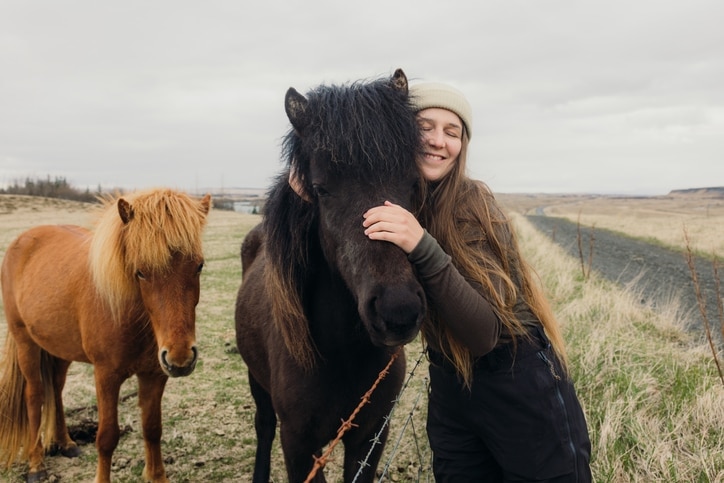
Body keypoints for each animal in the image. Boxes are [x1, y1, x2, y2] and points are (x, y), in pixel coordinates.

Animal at [0, 188, 211, 483]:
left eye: (199, 266)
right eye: (140, 272)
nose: (180, 357)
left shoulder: (154, 375)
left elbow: (152, 429)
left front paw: (156, 475)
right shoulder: (106, 376)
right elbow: (107, 438)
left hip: (59, 348)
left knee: (56, 388)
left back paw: (65, 443)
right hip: (25, 343)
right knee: (35, 395)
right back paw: (36, 465)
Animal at [234, 68, 426, 482]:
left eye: (413, 182)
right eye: (321, 190)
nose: (398, 310)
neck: (340, 353)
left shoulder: (372, 434)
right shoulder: (298, 446)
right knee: (263, 426)